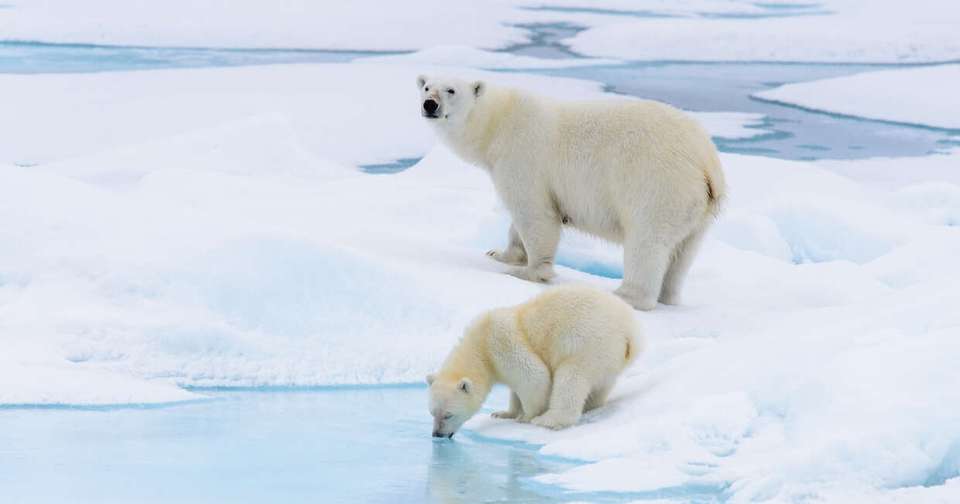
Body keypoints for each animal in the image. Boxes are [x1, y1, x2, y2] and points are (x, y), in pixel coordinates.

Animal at [417, 75, 726, 310]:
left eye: (451, 89)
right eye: (426, 86)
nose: (429, 104)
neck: (499, 121)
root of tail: (706, 161)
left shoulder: (523, 156)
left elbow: (535, 214)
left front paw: (527, 271)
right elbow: (518, 223)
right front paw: (499, 254)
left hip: (658, 185)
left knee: (647, 242)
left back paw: (625, 295)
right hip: (697, 210)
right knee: (683, 253)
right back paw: (668, 296)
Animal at [426, 285, 643, 437]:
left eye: (448, 414)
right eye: (432, 413)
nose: (437, 434)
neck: (480, 345)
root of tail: (630, 333)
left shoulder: (502, 343)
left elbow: (534, 377)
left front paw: (526, 417)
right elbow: (515, 389)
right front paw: (504, 413)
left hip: (587, 344)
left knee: (570, 379)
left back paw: (549, 420)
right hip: (607, 358)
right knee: (601, 385)